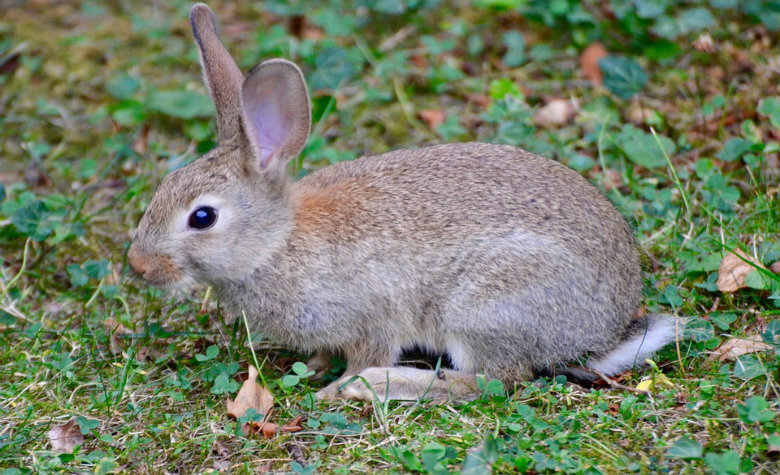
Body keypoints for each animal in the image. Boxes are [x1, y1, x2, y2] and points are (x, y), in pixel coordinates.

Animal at [127, 3, 679, 401]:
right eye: (165, 184)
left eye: (202, 217)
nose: (138, 265)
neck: (275, 244)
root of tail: (602, 332)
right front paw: (315, 367)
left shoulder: (373, 314)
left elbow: (370, 350)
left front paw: (332, 389)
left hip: (483, 307)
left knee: (491, 382)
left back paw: (377, 386)